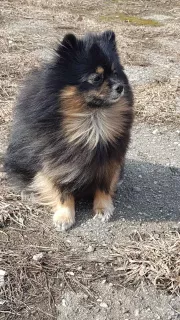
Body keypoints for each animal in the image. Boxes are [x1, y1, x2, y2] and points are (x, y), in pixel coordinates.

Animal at [4, 30, 134, 230]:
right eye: (96, 78)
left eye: (115, 72)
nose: (120, 87)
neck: (92, 121)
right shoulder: (55, 164)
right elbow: (61, 191)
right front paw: (64, 216)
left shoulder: (109, 160)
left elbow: (104, 185)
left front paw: (103, 208)